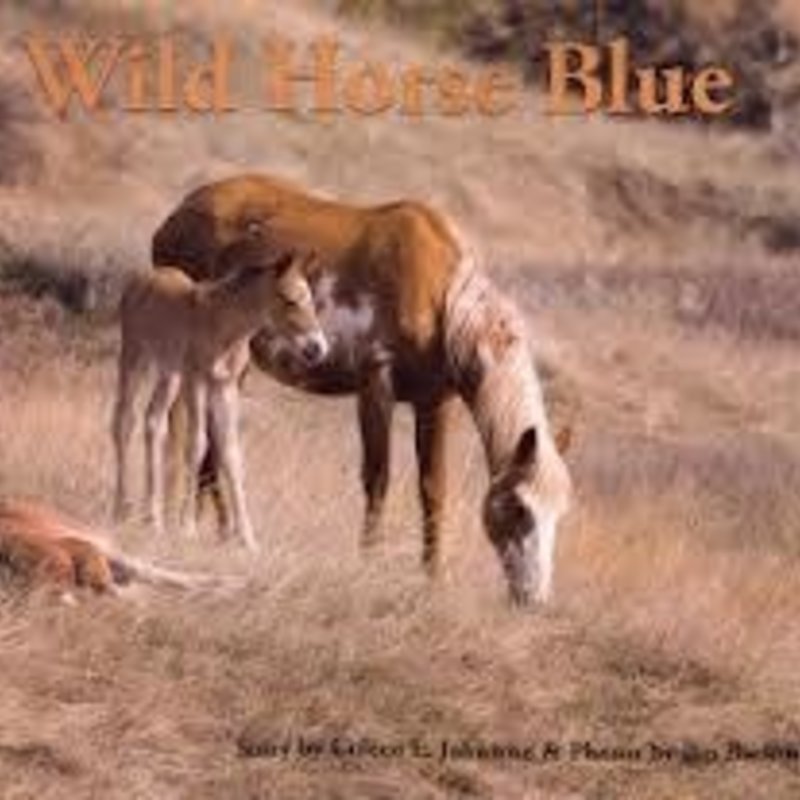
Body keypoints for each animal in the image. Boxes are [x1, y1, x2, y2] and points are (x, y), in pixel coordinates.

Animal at [152, 174, 572, 604]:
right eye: (520, 508)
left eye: (560, 512)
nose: (534, 599)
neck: (440, 296)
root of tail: (178, 215)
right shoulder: (375, 386)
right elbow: (378, 478)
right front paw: (368, 560)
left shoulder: (433, 402)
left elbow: (433, 486)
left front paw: (433, 575)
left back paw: (221, 534)